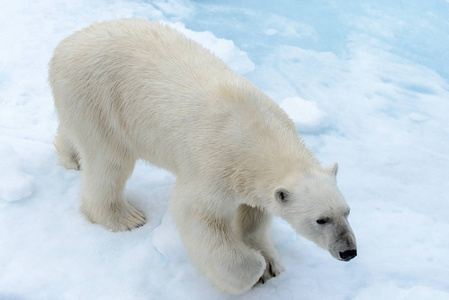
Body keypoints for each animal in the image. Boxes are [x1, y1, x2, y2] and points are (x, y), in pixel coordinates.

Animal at [49, 19, 356, 296]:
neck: (260, 132)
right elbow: (199, 216)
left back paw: (73, 158)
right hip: (97, 97)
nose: (349, 251)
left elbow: (253, 215)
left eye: (347, 211)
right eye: (321, 220)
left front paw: (270, 262)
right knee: (110, 161)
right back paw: (125, 217)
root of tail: (64, 45)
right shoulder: (217, 167)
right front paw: (256, 269)